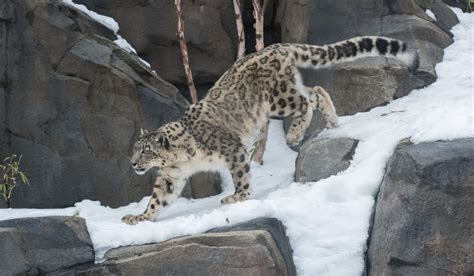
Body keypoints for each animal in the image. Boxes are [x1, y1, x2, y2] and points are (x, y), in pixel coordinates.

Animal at [122, 35, 418, 224]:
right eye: (135, 149)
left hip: (279, 98)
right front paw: (139, 217)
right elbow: (158, 197)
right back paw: (333, 122)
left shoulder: (233, 150)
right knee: (316, 91)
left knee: (307, 100)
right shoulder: (172, 175)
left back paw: (296, 133)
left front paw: (238, 197)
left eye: (146, 151)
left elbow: (240, 174)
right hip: (286, 92)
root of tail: (276, 47)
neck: (182, 159)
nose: (133, 164)